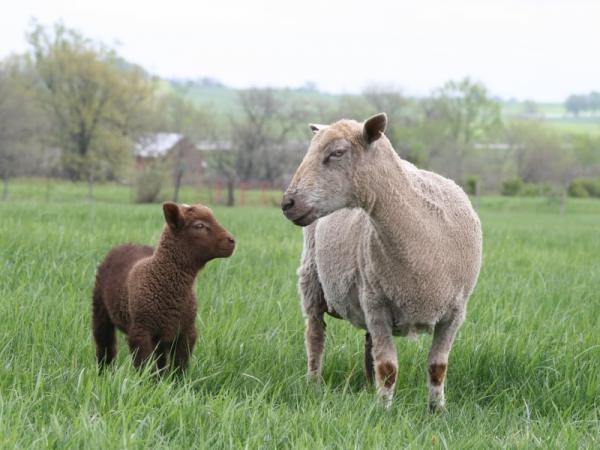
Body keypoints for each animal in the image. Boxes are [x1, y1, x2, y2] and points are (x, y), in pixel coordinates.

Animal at [92, 203, 236, 372]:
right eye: (199, 225)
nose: (232, 241)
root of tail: (126, 244)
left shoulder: (186, 332)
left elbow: (179, 368)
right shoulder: (140, 333)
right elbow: (144, 367)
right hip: (100, 309)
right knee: (105, 347)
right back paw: (103, 372)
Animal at [282, 113, 482, 412]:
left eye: (337, 153)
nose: (287, 203)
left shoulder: (455, 313)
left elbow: (437, 367)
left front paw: (437, 411)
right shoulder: (377, 303)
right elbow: (388, 368)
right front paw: (384, 411)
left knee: (369, 346)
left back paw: (367, 387)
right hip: (312, 277)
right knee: (315, 336)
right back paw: (313, 384)